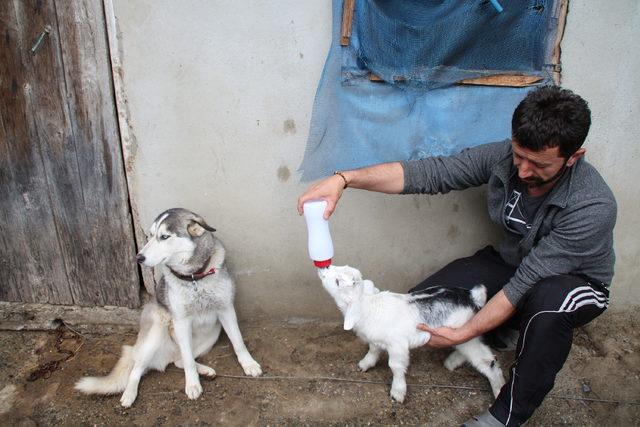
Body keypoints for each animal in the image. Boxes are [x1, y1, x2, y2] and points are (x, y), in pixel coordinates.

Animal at [75, 209, 262, 406]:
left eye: (164, 237)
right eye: (150, 235)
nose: (138, 257)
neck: (194, 277)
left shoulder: (226, 310)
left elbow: (238, 342)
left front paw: (249, 364)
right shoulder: (181, 321)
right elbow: (188, 361)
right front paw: (192, 384)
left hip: (212, 334)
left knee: (179, 360)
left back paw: (205, 371)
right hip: (156, 331)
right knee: (139, 368)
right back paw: (129, 394)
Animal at [318, 266, 504, 402]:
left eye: (337, 282)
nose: (323, 268)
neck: (368, 306)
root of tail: (472, 296)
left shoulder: (397, 345)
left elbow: (395, 366)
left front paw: (398, 393)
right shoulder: (376, 339)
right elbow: (373, 350)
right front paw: (365, 365)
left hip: (462, 329)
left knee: (487, 360)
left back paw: (498, 389)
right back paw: (451, 363)